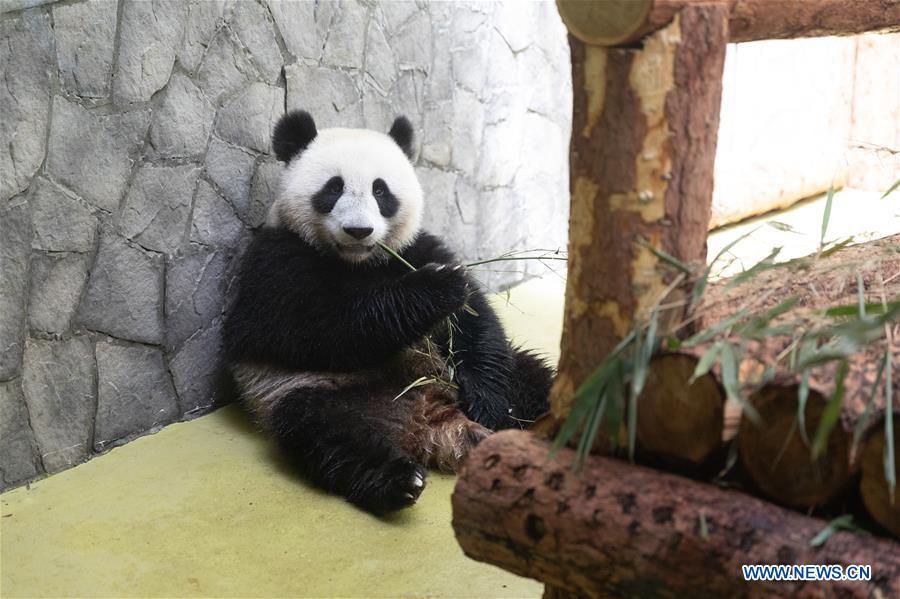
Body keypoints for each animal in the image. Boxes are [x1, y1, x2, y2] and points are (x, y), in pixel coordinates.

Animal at [223, 110, 554, 513]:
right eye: (333, 188)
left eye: (381, 191)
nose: (358, 230)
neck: (359, 262)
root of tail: (431, 422)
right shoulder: (275, 262)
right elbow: (321, 327)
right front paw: (436, 289)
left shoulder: (416, 248)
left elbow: (474, 323)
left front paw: (488, 403)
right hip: (315, 393)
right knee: (330, 434)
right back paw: (399, 480)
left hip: (508, 378)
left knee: (534, 378)